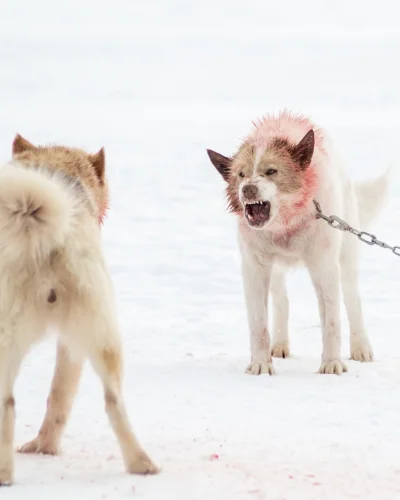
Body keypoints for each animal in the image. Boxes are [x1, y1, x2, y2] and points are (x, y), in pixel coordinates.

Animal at [208, 110, 390, 376]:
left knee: (352, 301)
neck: (285, 226)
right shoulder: (255, 269)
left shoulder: (324, 267)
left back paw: (360, 347)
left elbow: (332, 321)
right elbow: (258, 324)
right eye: (241, 174)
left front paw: (332, 363)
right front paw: (261, 363)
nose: (248, 189)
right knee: (282, 302)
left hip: (346, 260)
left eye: (271, 171)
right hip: (274, 270)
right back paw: (280, 344)